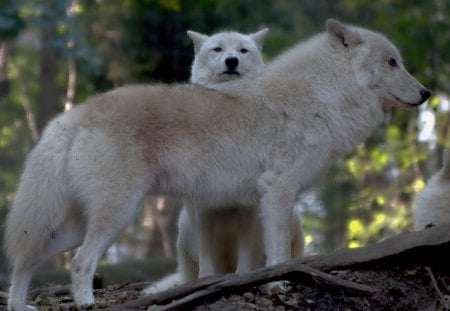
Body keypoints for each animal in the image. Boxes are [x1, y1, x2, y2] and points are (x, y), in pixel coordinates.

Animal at [5, 20, 430, 310]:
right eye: (393, 62)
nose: (427, 93)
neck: (320, 95)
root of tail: (75, 114)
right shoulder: (277, 193)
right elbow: (278, 255)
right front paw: (278, 288)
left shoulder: (265, 203)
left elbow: (260, 258)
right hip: (115, 216)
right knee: (79, 263)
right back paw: (86, 303)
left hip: (70, 226)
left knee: (23, 263)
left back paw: (19, 305)